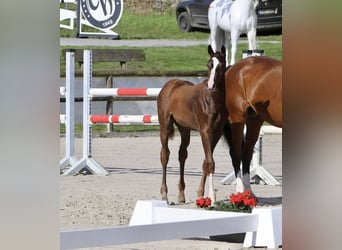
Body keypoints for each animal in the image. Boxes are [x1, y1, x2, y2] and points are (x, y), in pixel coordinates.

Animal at [158, 46, 227, 203]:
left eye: (221, 65)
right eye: (209, 64)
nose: (211, 85)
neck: (212, 100)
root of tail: (169, 85)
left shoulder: (216, 132)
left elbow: (206, 162)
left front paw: (201, 193)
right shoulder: (205, 131)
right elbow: (210, 163)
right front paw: (211, 197)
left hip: (184, 129)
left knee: (182, 154)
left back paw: (181, 194)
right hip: (164, 125)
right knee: (165, 155)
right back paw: (164, 193)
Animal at [222, 56, 284, 193]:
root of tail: (232, 68)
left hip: (254, 120)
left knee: (246, 154)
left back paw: (249, 193)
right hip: (237, 118)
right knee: (236, 153)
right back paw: (241, 190)